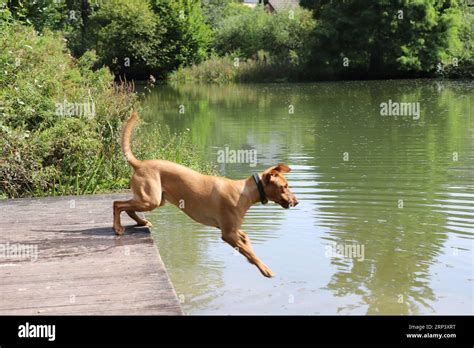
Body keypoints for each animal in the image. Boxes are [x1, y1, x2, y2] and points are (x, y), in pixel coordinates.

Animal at [113, 111, 298, 278]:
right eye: (284, 186)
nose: (296, 201)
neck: (244, 192)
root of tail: (140, 164)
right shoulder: (228, 234)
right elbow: (251, 254)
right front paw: (265, 270)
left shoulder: (232, 230)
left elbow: (247, 242)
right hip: (150, 200)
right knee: (117, 204)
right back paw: (118, 228)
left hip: (155, 200)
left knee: (128, 207)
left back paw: (141, 222)